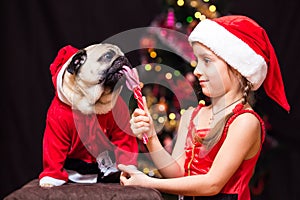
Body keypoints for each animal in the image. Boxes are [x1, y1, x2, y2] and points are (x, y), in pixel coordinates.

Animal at [38, 43, 138, 188]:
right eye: (108, 56)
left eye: (123, 55)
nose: (123, 58)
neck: (91, 103)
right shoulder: (55, 133)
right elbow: (54, 156)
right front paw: (50, 180)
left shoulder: (121, 128)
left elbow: (125, 149)